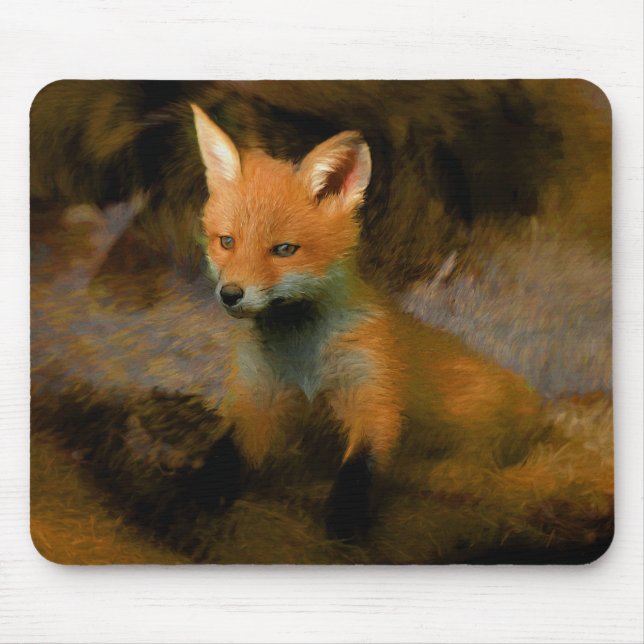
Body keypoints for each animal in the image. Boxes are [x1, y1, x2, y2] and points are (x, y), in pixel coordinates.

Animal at [191, 104, 542, 541]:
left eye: (284, 250)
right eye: (227, 242)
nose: (230, 294)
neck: (303, 357)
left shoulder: (374, 395)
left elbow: (360, 466)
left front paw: (345, 523)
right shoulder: (259, 397)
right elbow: (228, 451)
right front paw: (198, 493)